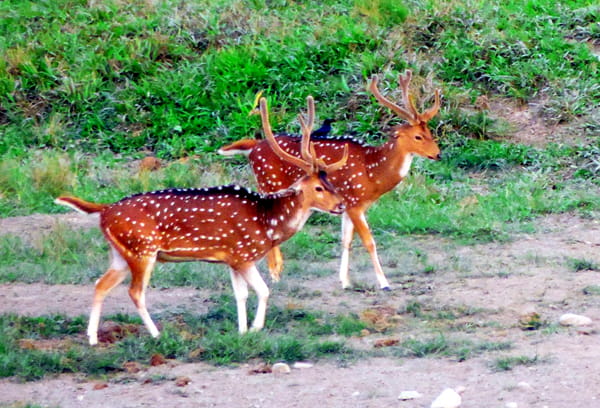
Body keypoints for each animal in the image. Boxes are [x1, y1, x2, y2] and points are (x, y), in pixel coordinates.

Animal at [57, 95, 346, 344]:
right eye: (318, 187)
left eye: (330, 181)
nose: (341, 205)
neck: (268, 224)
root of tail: (104, 210)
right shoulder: (244, 254)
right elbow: (263, 290)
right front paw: (255, 328)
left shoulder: (232, 258)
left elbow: (240, 294)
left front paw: (241, 331)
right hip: (142, 249)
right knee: (135, 292)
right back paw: (156, 334)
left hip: (120, 253)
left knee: (100, 284)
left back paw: (92, 338)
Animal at [219, 71, 440, 290]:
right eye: (418, 136)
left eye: (430, 132)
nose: (438, 154)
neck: (373, 174)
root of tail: (253, 147)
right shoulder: (353, 202)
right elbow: (369, 241)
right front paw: (384, 283)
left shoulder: (350, 205)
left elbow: (346, 240)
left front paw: (345, 281)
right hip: (268, 183)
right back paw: (274, 274)